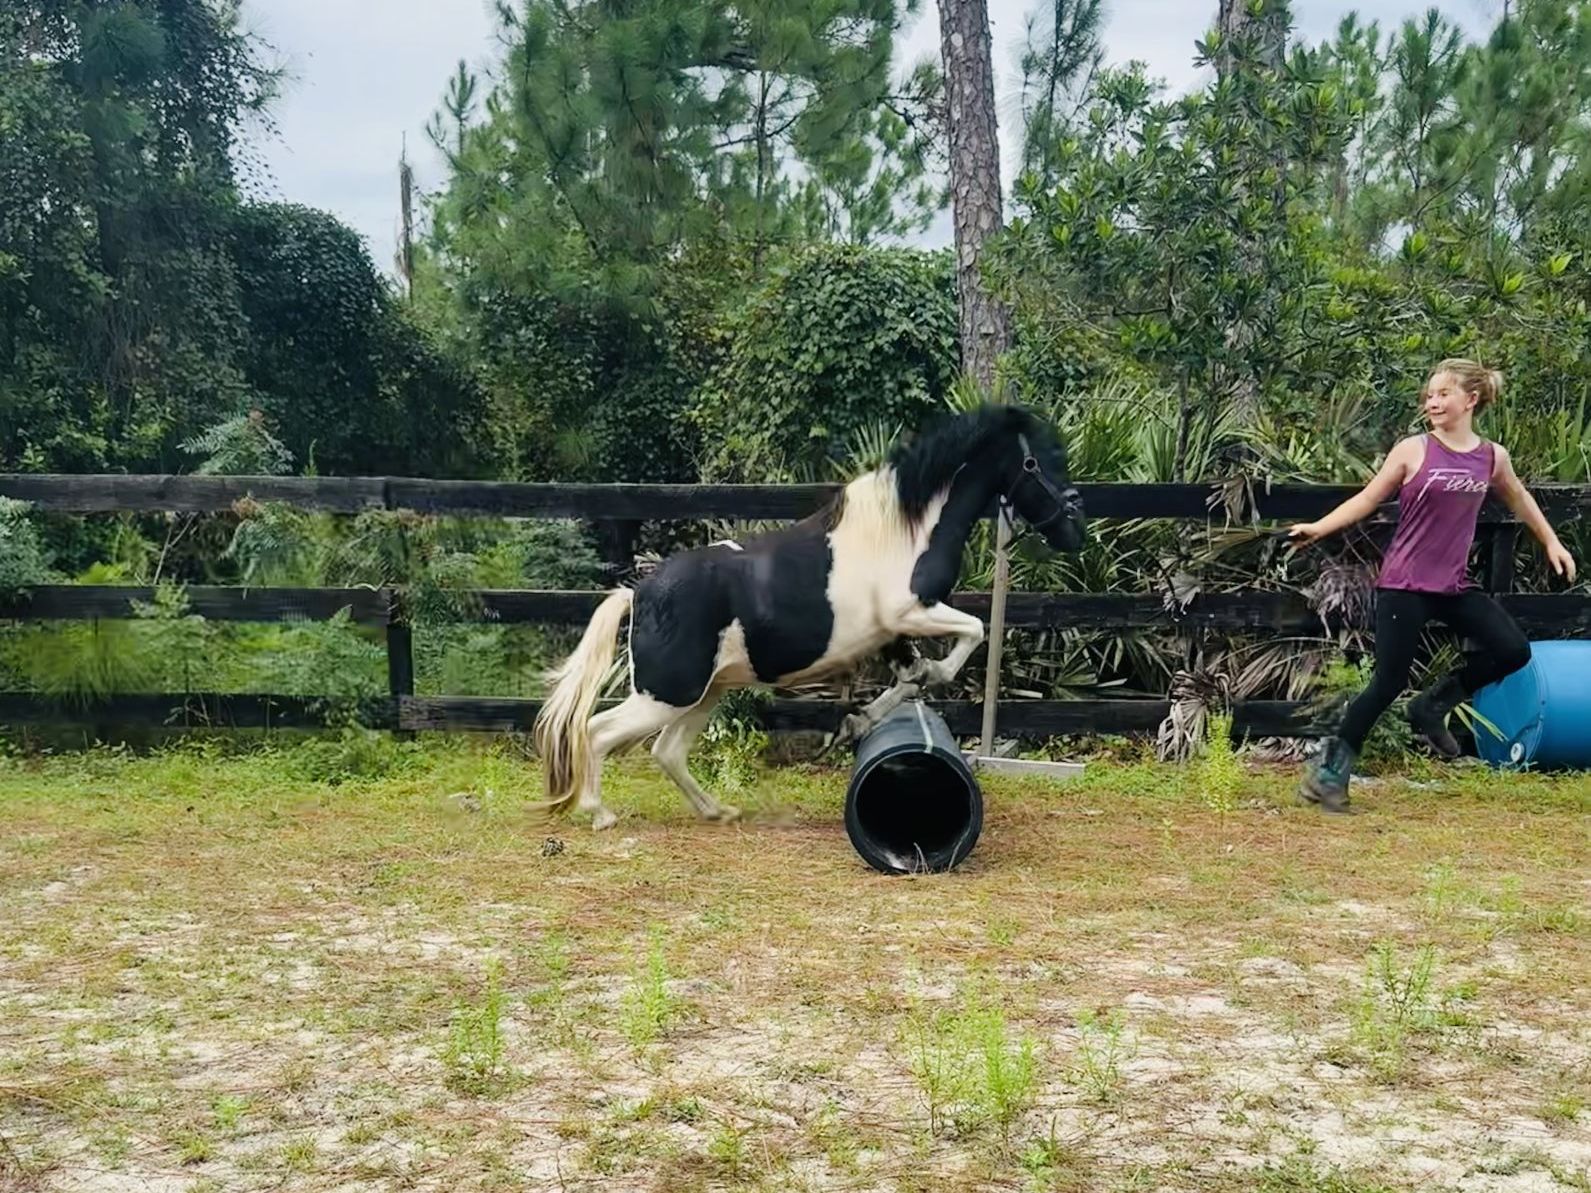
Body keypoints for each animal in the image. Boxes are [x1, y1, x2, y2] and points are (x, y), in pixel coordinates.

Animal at [532, 401, 1088, 829]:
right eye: (1038, 463)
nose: (1075, 528)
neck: (904, 531)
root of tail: (640, 591)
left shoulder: (893, 632)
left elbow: (911, 676)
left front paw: (856, 723)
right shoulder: (911, 611)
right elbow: (971, 635)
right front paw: (901, 694)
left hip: (703, 694)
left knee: (666, 751)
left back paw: (718, 811)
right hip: (666, 695)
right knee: (597, 731)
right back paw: (601, 815)